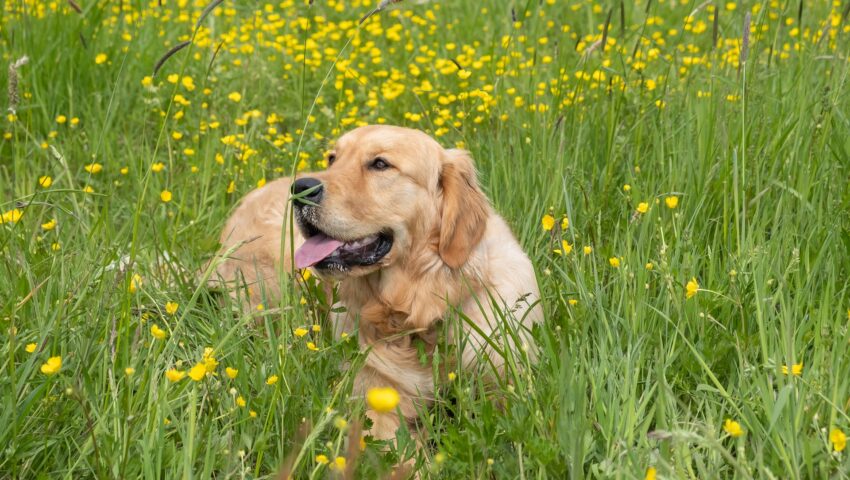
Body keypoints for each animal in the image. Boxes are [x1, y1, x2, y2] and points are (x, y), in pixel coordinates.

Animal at [214, 125, 544, 444]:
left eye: (380, 164)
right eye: (332, 159)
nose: (301, 189)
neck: (418, 312)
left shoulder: (508, 384)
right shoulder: (375, 395)